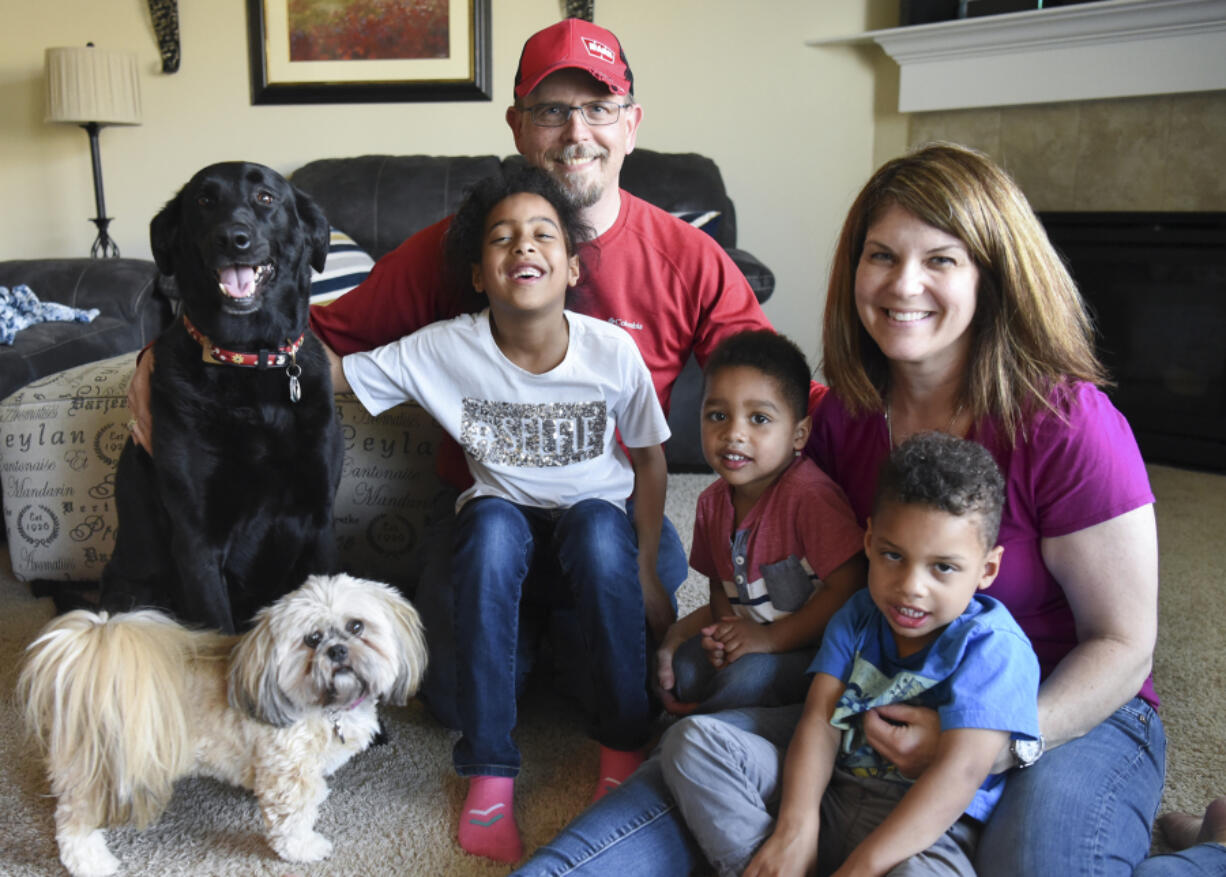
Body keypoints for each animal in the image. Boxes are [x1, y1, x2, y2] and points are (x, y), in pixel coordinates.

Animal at [15, 574, 431, 873]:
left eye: (357, 626)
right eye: (312, 639)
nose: (338, 650)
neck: (327, 706)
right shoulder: (288, 772)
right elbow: (293, 820)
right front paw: (305, 847)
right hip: (101, 769)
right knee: (74, 822)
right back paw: (92, 863)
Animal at [100, 160, 345, 632]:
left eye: (266, 198)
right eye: (204, 200)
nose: (232, 238)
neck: (249, 361)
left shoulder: (320, 521)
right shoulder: (198, 542)